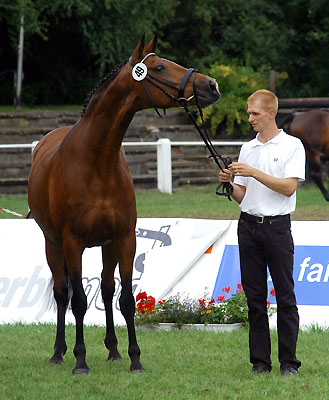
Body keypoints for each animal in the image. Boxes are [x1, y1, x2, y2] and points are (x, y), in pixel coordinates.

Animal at [26, 34, 219, 376]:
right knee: (62, 294)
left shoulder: (125, 239)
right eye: (159, 67)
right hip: (53, 244)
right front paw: (80, 361)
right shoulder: (73, 242)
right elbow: (78, 302)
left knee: (105, 289)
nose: (211, 85)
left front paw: (134, 358)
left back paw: (113, 350)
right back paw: (59, 353)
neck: (96, 162)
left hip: (106, 246)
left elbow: (126, 299)